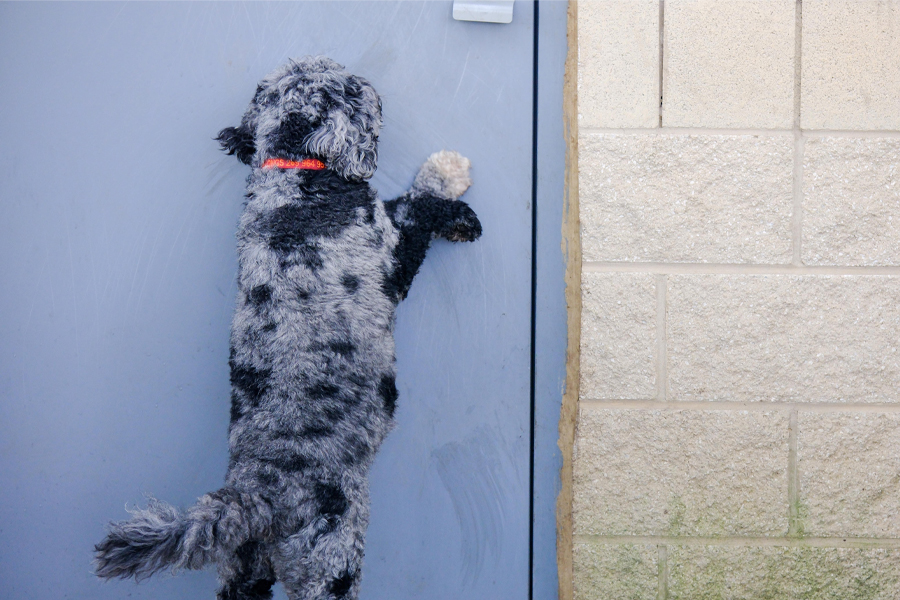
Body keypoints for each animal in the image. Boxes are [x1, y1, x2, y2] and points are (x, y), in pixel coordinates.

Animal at [95, 56, 482, 600]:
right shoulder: (392, 258)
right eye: (351, 88)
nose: (370, 83)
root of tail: (256, 493)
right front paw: (450, 177)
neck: (296, 177)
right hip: (330, 558)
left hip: (243, 568)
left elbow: (409, 203)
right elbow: (417, 206)